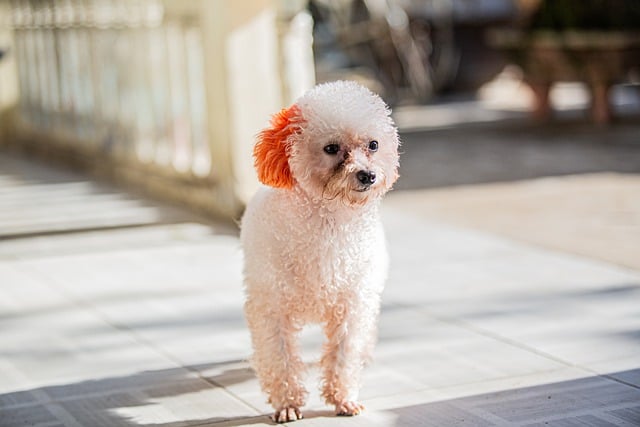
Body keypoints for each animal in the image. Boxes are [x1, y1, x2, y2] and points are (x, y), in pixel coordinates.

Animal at [241, 81, 400, 424]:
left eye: (373, 145)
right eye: (331, 148)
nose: (367, 175)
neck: (328, 222)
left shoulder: (352, 305)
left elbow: (344, 353)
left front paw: (343, 398)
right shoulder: (271, 307)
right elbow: (279, 357)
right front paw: (287, 403)